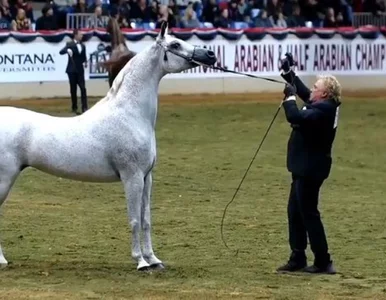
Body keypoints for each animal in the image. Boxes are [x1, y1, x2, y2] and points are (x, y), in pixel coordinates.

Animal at [0, 22, 217, 272]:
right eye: (174, 45)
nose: (210, 55)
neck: (129, 114)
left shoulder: (147, 178)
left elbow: (146, 220)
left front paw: (153, 259)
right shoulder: (132, 177)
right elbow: (134, 220)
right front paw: (141, 262)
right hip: (4, 179)